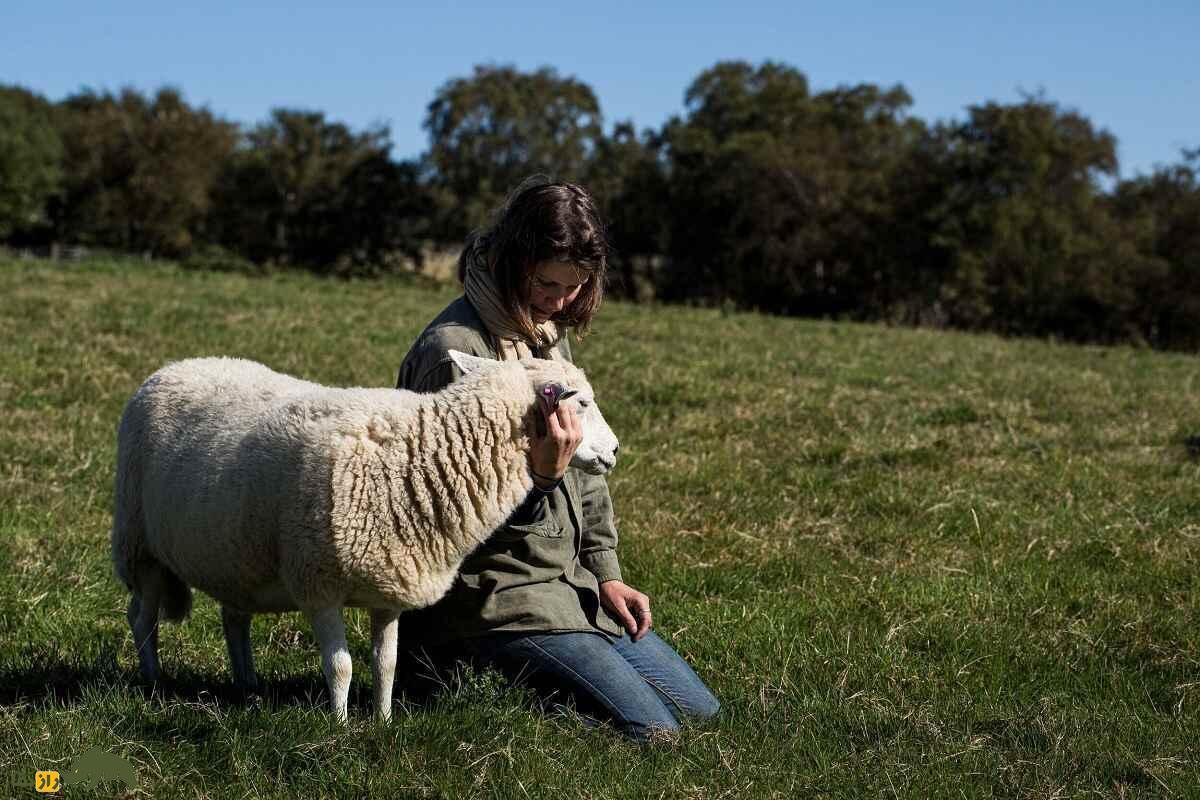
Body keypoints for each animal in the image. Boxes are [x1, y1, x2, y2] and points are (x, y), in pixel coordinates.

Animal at [111, 350, 619, 719]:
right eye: (582, 403)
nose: (614, 451)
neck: (422, 453)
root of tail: (171, 367)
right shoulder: (318, 583)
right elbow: (340, 667)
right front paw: (337, 730)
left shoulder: (392, 584)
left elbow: (385, 663)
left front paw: (382, 723)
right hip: (139, 544)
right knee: (142, 617)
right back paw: (153, 681)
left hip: (236, 553)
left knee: (233, 619)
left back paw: (247, 685)